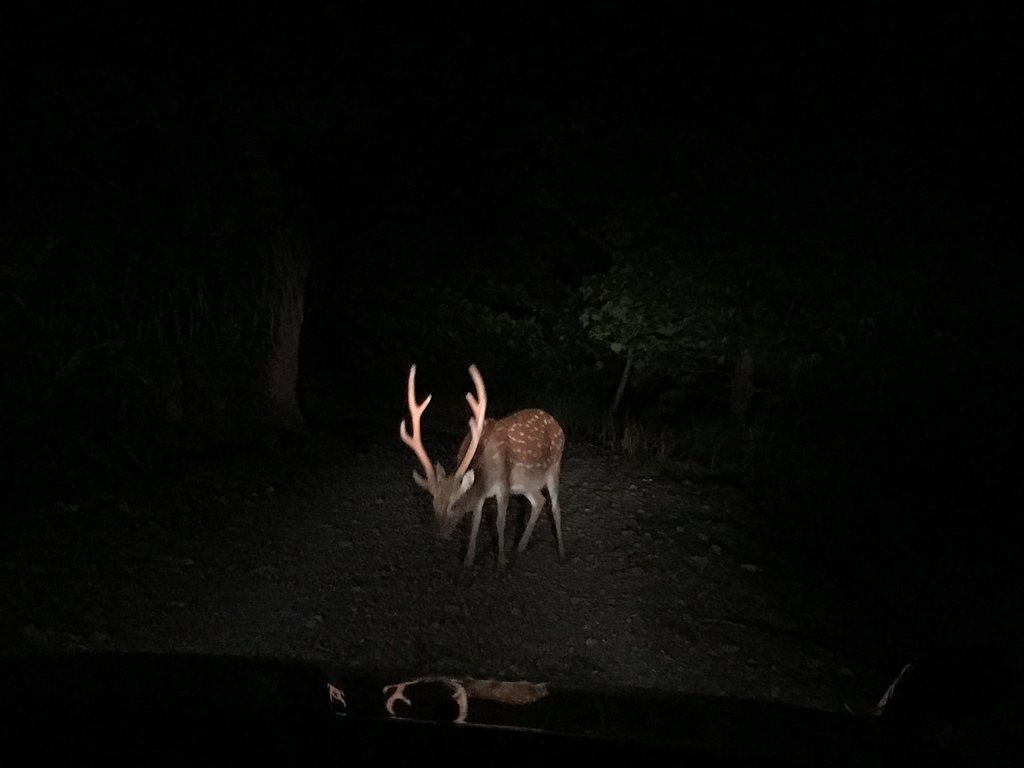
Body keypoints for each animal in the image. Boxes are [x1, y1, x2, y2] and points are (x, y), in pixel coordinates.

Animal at [399, 363, 565, 568]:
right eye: (433, 503)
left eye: (454, 504)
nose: (441, 534)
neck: (485, 474)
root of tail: (556, 424)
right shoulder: (481, 492)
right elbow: (476, 522)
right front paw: (468, 559)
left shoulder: (504, 483)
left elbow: (500, 521)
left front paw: (501, 561)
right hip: (526, 484)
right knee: (539, 500)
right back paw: (520, 546)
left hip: (554, 466)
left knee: (555, 506)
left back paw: (561, 552)